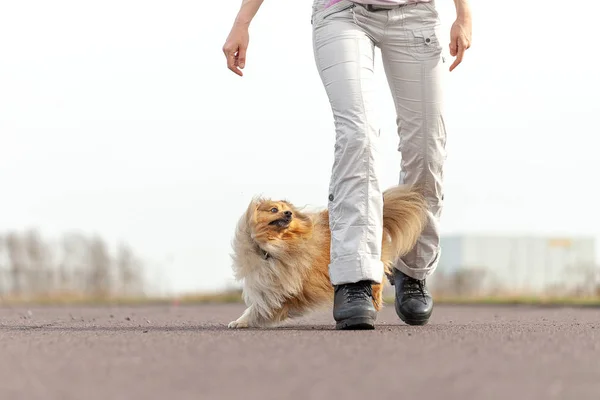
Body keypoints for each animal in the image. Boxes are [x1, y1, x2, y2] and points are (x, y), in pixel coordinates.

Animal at [227, 184, 428, 328]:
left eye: (287, 210)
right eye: (273, 210)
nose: (289, 213)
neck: (275, 245)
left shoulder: (280, 287)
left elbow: (259, 307)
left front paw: (240, 321)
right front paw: (240, 321)